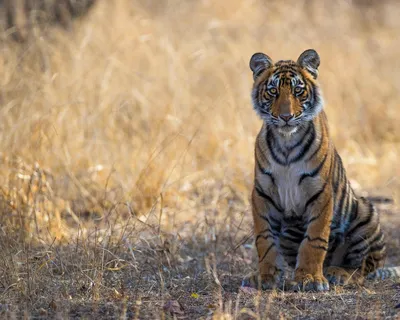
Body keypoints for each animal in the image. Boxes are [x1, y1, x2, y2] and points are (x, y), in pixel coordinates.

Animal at [242, 48, 398, 292]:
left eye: (298, 91)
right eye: (273, 91)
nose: (286, 117)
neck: (286, 143)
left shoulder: (320, 193)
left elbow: (314, 240)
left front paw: (310, 279)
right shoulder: (262, 194)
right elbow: (264, 239)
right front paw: (266, 276)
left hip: (366, 212)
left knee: (363, 269)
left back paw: (338, 273)